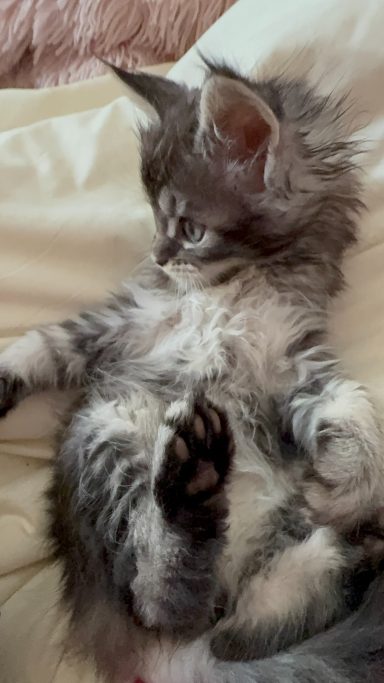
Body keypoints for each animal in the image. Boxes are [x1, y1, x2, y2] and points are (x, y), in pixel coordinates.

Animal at [0, 61, 384, 680]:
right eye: (156, 220)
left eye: (188, 228)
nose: (158, 255)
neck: (237, 289)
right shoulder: (127, 324)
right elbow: (45, 343)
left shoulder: (295, 364)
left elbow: (352, 405)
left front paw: (350, 485)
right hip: (110, 422)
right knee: (178, 608)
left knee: (212, 618)